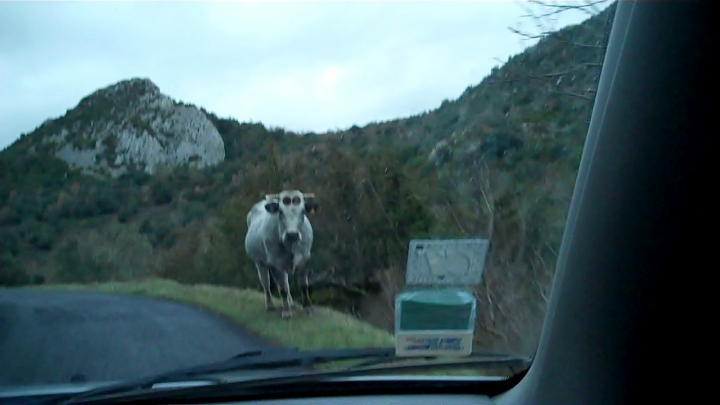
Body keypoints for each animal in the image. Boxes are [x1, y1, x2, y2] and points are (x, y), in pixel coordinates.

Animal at [245, 189, 318, 318]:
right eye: (280, 212)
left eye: (303, 211)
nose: (292, 235)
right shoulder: (275, 264)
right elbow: (282, 289)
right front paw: (286, 311)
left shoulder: (305, 259)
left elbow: (303, 285)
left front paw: (308, 307)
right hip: (260, 263)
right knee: (266, 284)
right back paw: (270, 305)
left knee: (286, 284)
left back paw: (292, 304)